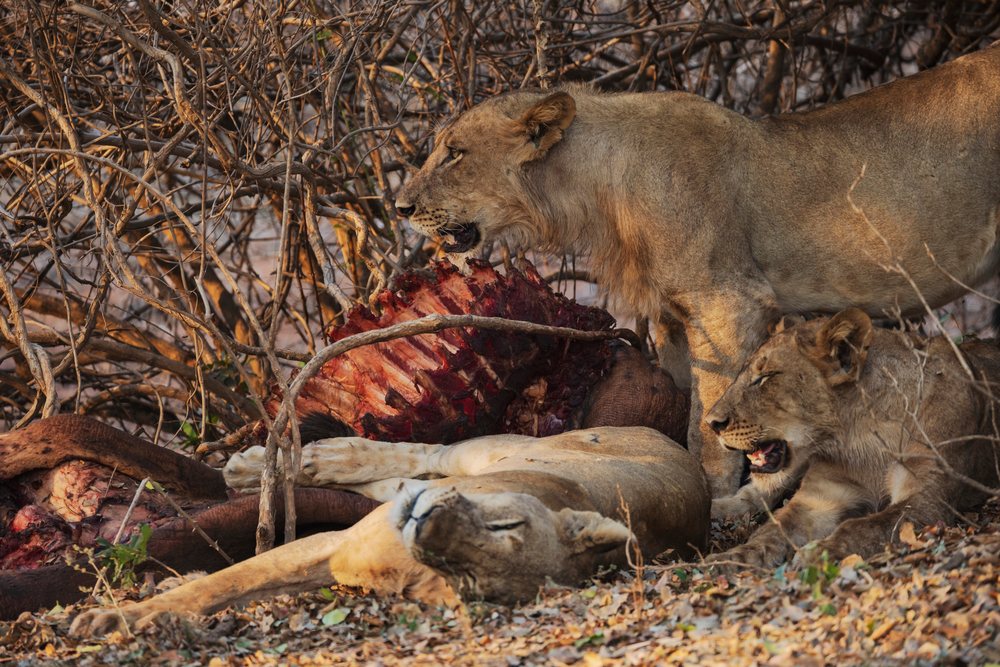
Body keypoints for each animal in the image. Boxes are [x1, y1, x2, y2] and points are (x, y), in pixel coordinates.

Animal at [70, 426, 709, 636]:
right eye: (506, 522)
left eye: (463, 573)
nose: (428, 523)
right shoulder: (329, 542)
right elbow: (221, 583)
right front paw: (117, 618)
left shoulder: (338, 554)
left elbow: (232, 584)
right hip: (496, 450)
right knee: (424, 453)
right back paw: (268, 465)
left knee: (402, 477)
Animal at [393, 43, 1000, 498]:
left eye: (455, 153)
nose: (400, 206)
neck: (601, 189)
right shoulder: (673, 318)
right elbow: (682, 398)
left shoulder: (727, 303)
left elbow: (708, 418)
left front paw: (714, 495)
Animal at [702, 308, 1000, 567]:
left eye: (765, 377)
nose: (711, 422)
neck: (862, 435)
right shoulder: (818, 498)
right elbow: (771, 531)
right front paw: (730, 560)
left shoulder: (926, 499)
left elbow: (863, 526)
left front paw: (818, 553)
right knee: (755, 495)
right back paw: (716, 509)